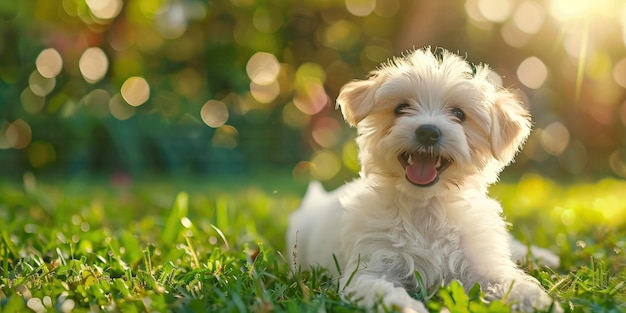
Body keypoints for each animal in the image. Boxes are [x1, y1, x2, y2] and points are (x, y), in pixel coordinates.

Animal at [288, 47, 560, 310]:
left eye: (459, 114)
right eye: (401, 108)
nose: (428, 132)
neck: (425, 206)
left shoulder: (481, 262)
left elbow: (508, 280)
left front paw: (537, 300)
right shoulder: (370, 266)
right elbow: (380, 288)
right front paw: (405, 306)